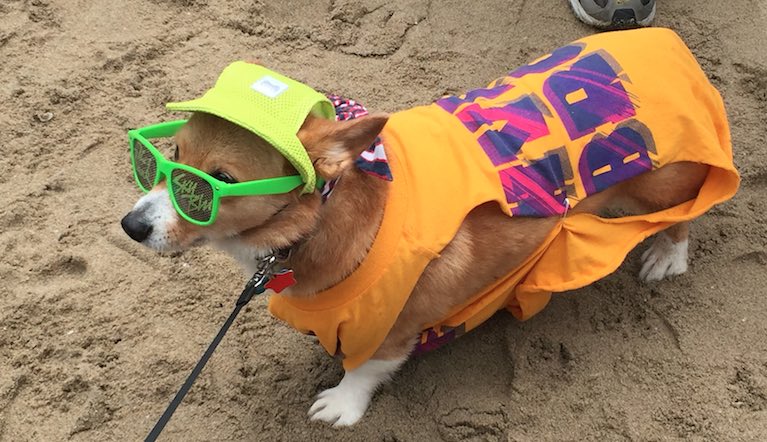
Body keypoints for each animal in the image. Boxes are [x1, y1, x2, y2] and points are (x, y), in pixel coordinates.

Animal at [123, 26, 740, 424]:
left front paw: (340, 404)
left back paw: (667, 255)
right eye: (169, 155)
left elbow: (364, 370)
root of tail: (671, 44)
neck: (322, 215)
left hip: (660, 183)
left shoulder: (394, 328)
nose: (131, 225)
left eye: (214, 182)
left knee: (684, 213)